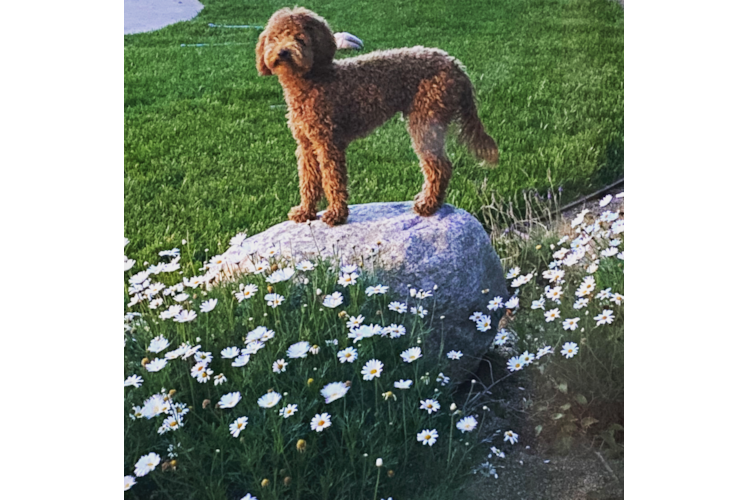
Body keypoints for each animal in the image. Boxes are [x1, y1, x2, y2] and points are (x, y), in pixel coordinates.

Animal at [254, 7, 500, 227]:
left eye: (299, 38)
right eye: (275, 38)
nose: (283, 52)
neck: (314, 80)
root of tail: (456, 65)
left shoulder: (329, 143)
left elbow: (333, 180)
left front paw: (336, 215)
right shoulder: (306, 144)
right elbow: (308, 180)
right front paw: (305, 211)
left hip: (425, 121)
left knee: (439, 166)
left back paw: (428, 205)